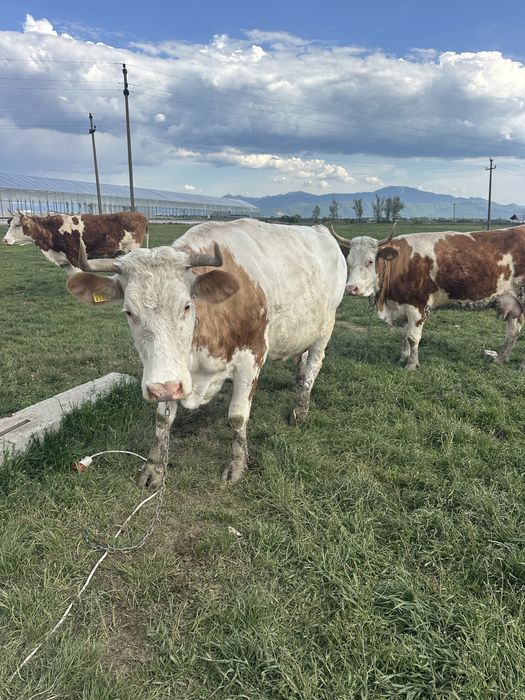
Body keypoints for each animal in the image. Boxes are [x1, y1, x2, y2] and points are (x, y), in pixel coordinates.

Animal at [3, 211, 148, 275]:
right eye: (10, 224)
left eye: (17, 225)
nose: (5, 240)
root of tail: (140, 215)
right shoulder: (65, 261)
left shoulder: (74, 257)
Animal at [67, 218, 347, 487]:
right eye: (128, 312)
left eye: (186, 306)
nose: (162, 389)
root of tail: (320, 231)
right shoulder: (173, 373)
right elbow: (162, 420)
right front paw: (154, 468)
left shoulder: (251, 357)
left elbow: (237, 416)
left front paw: (236, 465)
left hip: (325, 328)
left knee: (312, 367)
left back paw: (300, 410)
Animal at [331, 225, 525, 369]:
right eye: (349, 261)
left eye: (370, 261)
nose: (351, 288)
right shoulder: (402, 307)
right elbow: (404, 335)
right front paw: (404, 357)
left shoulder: (416, 306)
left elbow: (412, 337)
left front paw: (411, 365)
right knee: (513, 331)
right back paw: (500, 359)